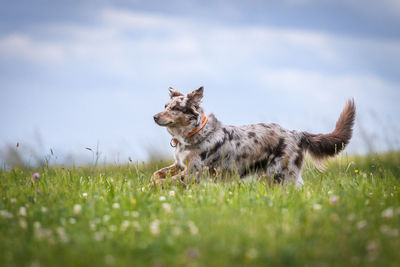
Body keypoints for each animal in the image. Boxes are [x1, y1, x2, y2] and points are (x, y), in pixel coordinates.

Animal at [152, 87, 354, 187]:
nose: (154, 116)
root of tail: (295, 133)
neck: (192, 133)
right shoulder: (180, 165)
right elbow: (157, 174)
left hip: (278, 175)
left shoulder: (195, 172)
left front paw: (152, 188)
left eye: (175, 108)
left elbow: (165, 181)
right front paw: (153, 182)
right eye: (165, 106)